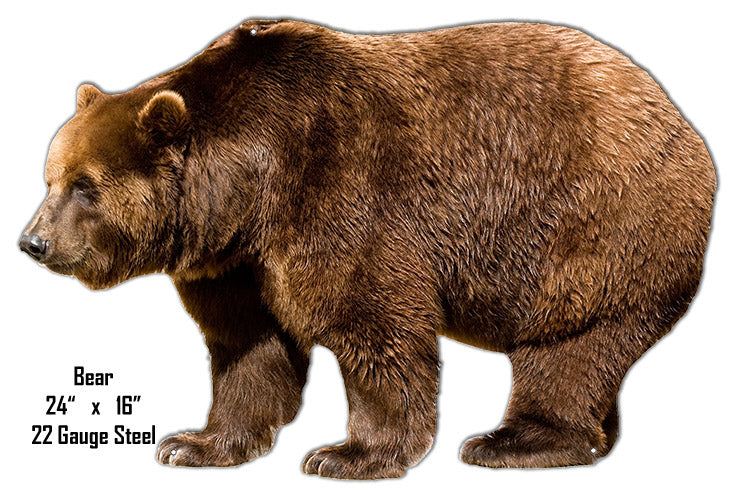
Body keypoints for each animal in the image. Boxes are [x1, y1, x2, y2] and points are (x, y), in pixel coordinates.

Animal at [19, 19, 715, 479]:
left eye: (86, 186)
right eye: (49, 177)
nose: (33, 241)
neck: (249, 186)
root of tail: (682, 123)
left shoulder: (343, 193)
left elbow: (374, 326)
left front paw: (347, 454)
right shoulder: (236, 262)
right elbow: (249, 347)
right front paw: (193, 443)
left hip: (596, 228)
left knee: (568, 345)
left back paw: (513, 442)